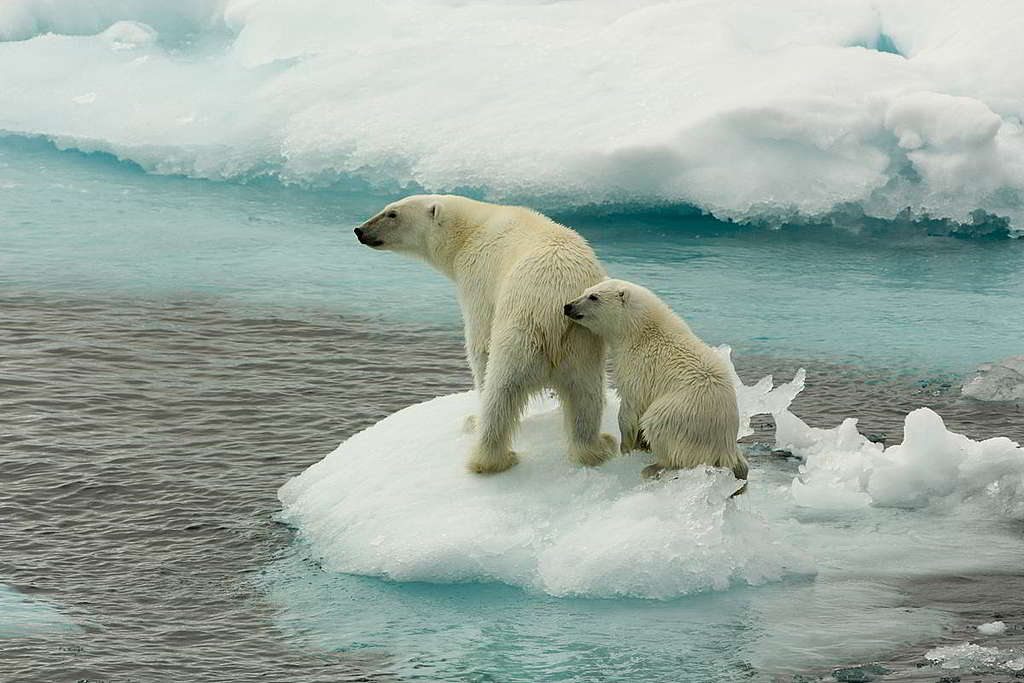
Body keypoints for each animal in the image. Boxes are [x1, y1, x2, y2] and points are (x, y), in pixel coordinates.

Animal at [352, 194, 614, 473]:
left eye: (392, 213)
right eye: (387, 208)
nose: (360, 230)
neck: (471, 229)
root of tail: (552, 312)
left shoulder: (477, 277)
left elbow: (479, 340)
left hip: (519, 332)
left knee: (501, 391)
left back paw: (487, 450)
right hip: (582, 344)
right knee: (586, 396)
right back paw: (595, 448)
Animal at [565, 280, 749, 489]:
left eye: (593, 296)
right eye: (585, 291)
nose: (568, 306)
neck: (640, 331)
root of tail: (725, 444)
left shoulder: (640, 367)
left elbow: (631, 407)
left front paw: (626, 447)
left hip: (681, 414)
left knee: (658, 425)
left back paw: (653, 467)